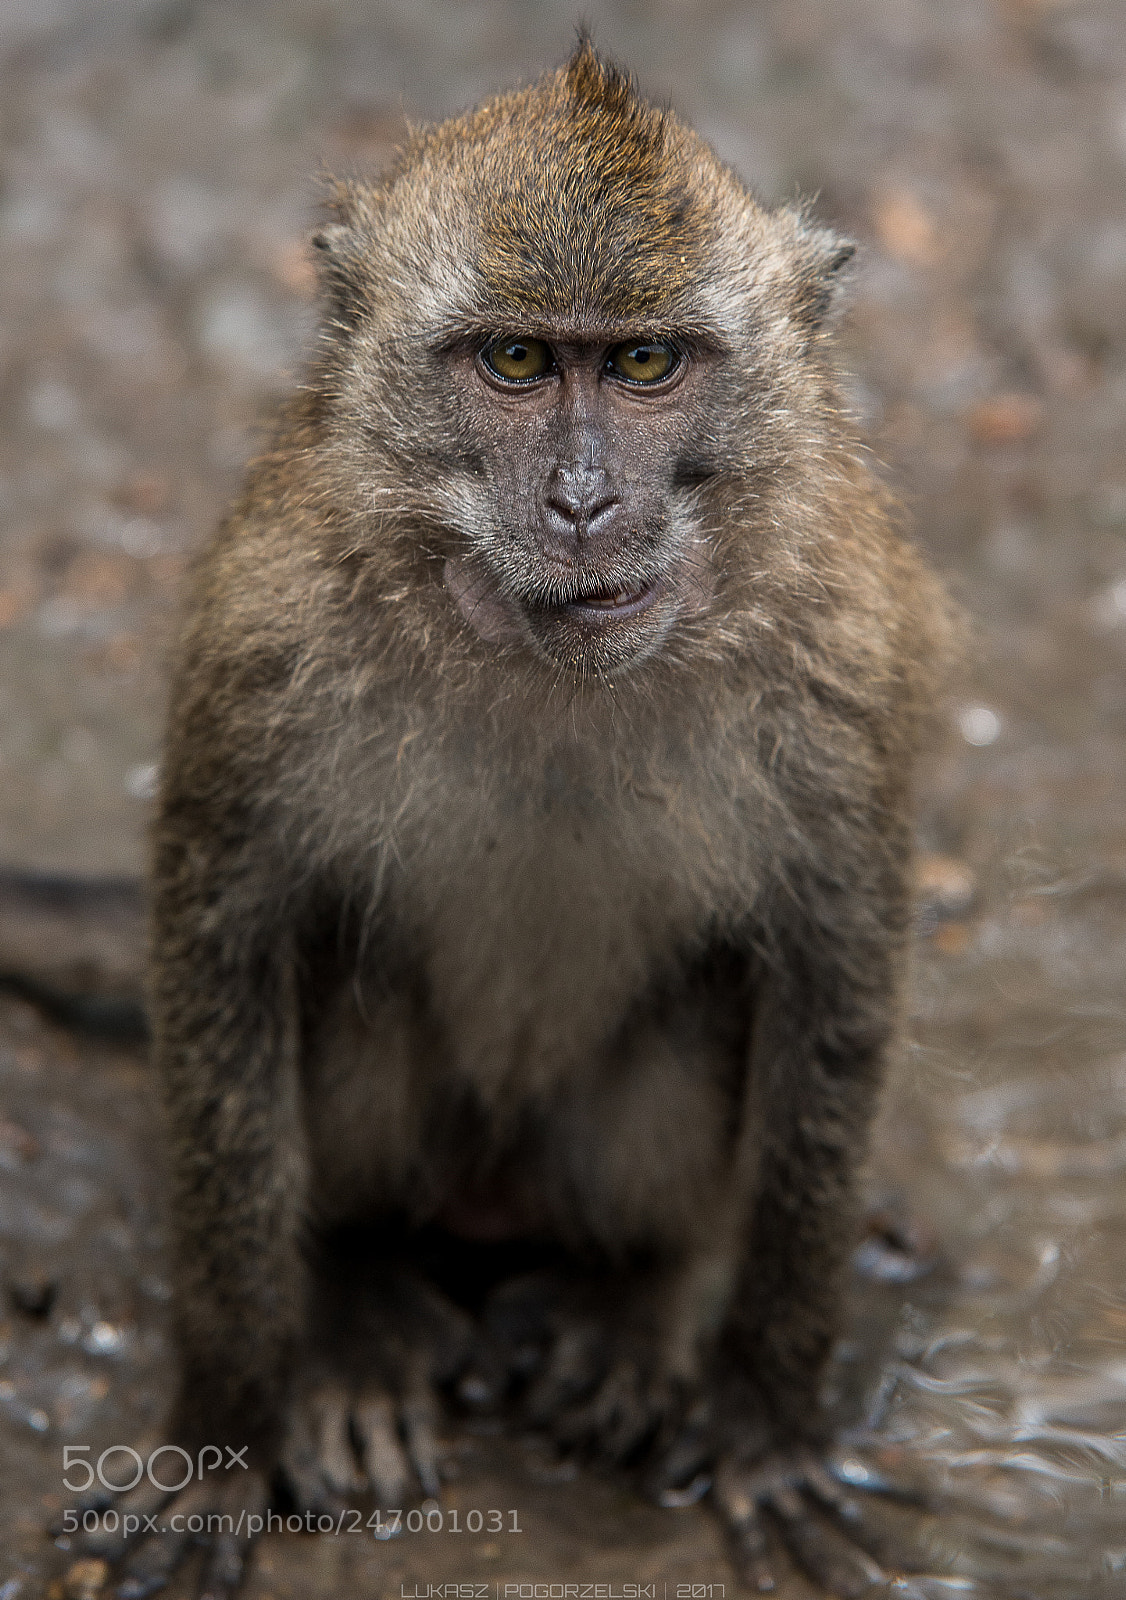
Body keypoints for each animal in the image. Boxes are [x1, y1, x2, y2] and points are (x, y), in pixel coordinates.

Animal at [69, 42, 955, 1600]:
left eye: (646, 363)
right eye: (518, 363)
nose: (583, 499)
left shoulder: (844, 660)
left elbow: (833, 973)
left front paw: (768, 1414)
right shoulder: (265, 635)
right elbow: (227, 939)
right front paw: (225, 1423)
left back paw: (639, 1297)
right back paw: (354, 1297)